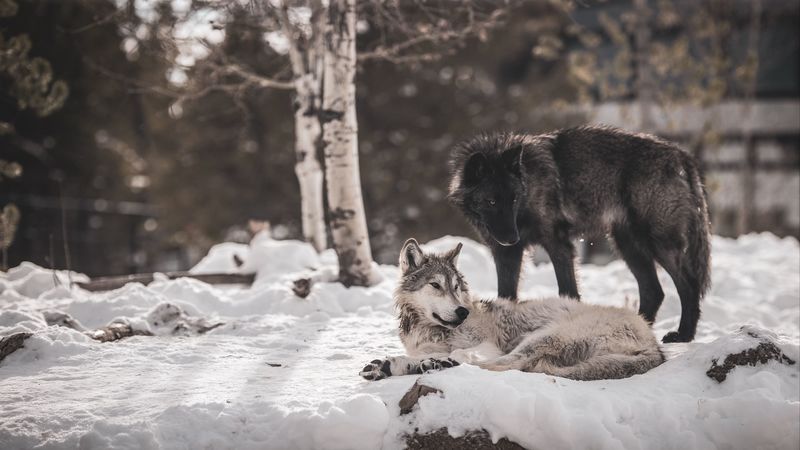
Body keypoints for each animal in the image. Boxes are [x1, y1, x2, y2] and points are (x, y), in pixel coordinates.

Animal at [360, 239, 664, 381]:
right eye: (436, 285)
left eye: (456, 286)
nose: (462, 312)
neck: (430, 330)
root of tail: (655, 345)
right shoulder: (423, 348)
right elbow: (424, 355)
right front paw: (395, 364)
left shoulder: (488, 346)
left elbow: (466, 354)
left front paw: (435, 361)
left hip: (541, 337)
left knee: (507, 365)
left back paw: (440, 365)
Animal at [447, 126, 711, 343]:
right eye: (491, 201)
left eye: (513, 199)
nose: (512, 238)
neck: (529, 184)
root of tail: (680, 154)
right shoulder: (506, 254)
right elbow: (506, 295)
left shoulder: (558, 245)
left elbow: (568, 290)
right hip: (628, 245)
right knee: (654, 291)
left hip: (658, 242)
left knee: (689, 285)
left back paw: (684, 335)